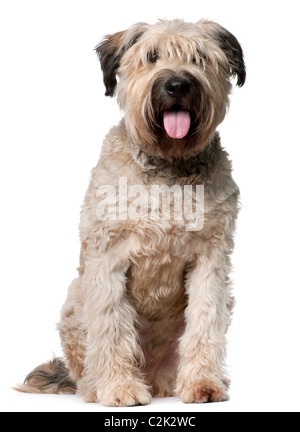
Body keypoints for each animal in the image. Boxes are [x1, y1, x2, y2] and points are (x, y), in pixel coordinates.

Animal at [17, 18, 245, 406]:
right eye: (152, 56)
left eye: (199, 57)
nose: (177, 85)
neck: (169, 168)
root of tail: (154, 378)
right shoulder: (108, 258)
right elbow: (111, 325)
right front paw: (119, 388)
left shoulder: (210, 259)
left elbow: (205, 319)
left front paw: (202, 383)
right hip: (75, 300)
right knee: (87, 366)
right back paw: (99, 386)